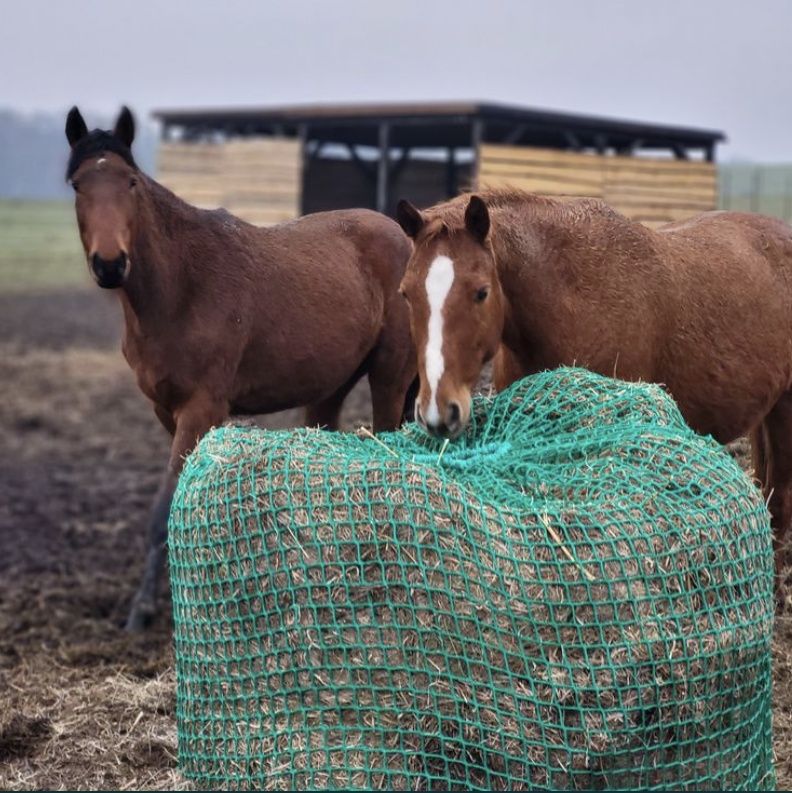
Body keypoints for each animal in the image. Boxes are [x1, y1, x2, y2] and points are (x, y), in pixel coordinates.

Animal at [66, 108, 414, 628]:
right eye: (77, 185)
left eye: (129, 182)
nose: (110, 264)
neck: (181, 287)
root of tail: (407, 239)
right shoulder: (167, 411)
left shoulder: (202, 409)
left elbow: (165, 508)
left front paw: (144, 609)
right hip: (329, 388)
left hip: (390, 377)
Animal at [400, 190, 792, 600]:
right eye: (407, 294)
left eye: (481, 292)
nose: (437, 410)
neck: (573, 300)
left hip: (785, 410)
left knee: (779, 501)